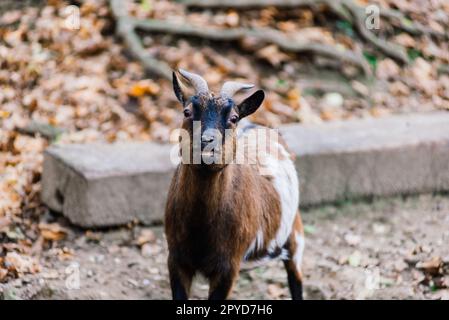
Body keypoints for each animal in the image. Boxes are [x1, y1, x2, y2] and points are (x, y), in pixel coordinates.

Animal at [164, 69, 304, 300]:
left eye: (233, 118)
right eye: (187, 112)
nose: (207, 142)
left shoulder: (228, 267)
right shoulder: (176, 259)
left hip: (295, 233)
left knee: (296, 276)